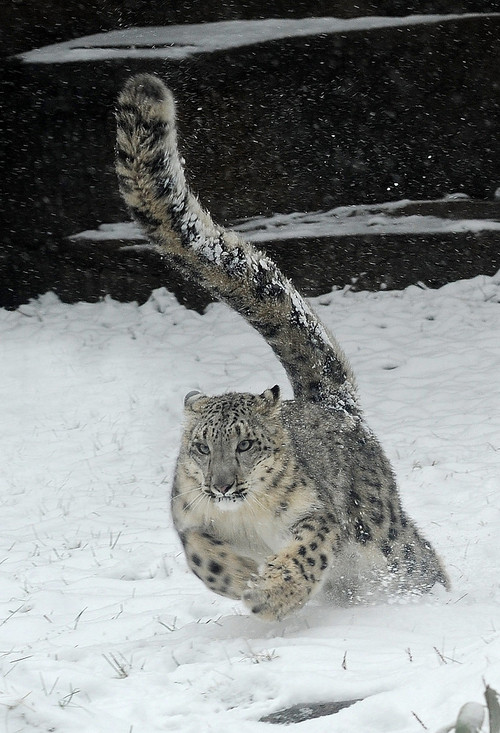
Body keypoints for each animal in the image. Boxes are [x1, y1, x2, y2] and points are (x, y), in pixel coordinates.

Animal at [114, 73, 450, 616]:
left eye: (246, 444)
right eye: (202, 447)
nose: (222, 484)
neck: (245, 518)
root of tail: (337, 408)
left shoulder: (316, 515)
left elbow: (306, 551)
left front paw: (272, 591)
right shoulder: (189, 520)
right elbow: (203, 559)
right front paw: (244, 579)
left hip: (379, 529)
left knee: (416, 557)